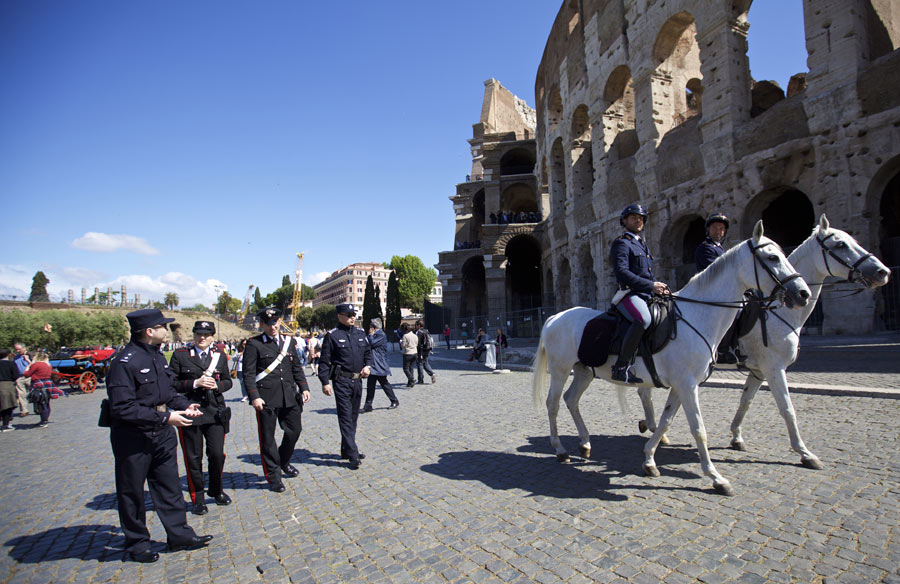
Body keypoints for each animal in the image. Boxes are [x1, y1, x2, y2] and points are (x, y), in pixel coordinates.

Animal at [532, 221, 812, 496]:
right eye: (773, 257)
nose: (803, 293)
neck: (697, 315)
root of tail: (556, 316)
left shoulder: (683, 385)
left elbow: (666, 421)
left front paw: (649, 460)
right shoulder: (691, 385)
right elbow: (699, 429)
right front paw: (716, 478)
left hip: (584, 371)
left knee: (571, 399)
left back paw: (585, 444)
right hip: (560, 370)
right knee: (553, 404)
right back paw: (560, 450)